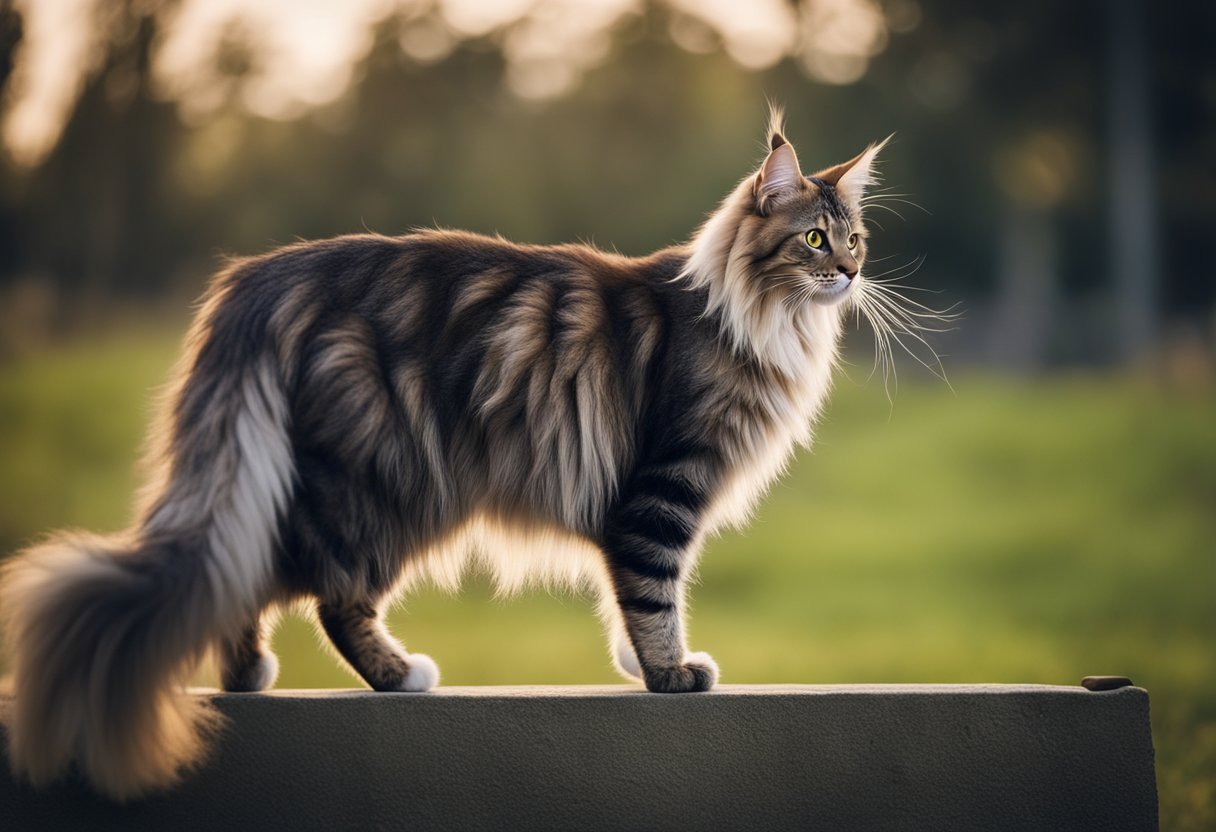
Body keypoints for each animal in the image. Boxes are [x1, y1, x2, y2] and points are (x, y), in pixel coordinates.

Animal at [2, 107, 894, 797]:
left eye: (857, 239)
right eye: (815, 240)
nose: (851, 274)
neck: (756, 320)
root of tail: (267, 275)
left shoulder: (637, 506)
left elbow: (628, 600)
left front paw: (635, 667)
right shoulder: (663, 488)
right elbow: (652, 593)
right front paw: (671, 675)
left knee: (243, 571)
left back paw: (250, 676)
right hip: (386, 487)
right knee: (323, 593)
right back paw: (398, 675)